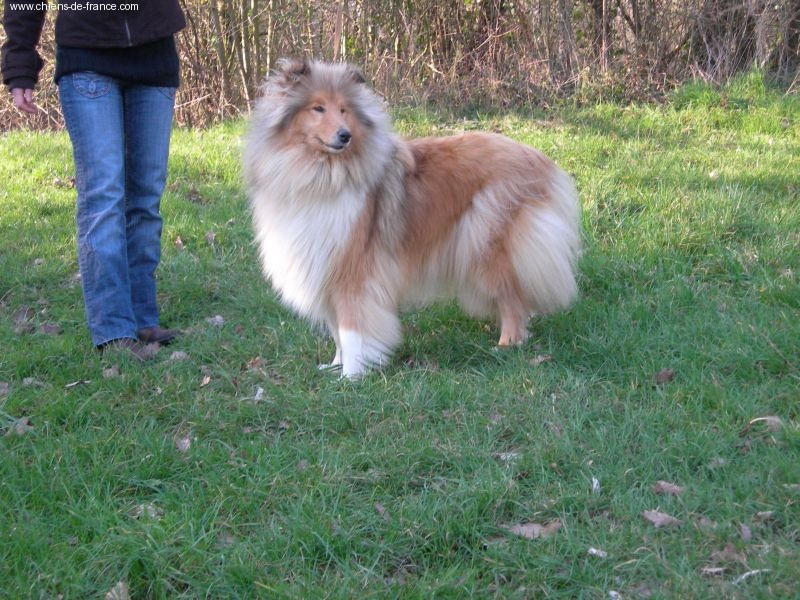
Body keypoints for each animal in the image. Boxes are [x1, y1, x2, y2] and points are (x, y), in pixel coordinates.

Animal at [244, 59, 581, 378]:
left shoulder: (353, 272)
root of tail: (539, 159)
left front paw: (351, 377)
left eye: (343, 109)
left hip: (487, 244)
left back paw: (507, 344)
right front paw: (335, 367)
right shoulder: (323, 270)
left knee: (513, 298)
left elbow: (351, 330)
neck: (321, 174)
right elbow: (337, 331)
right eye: (317, 108)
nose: (345, 135)